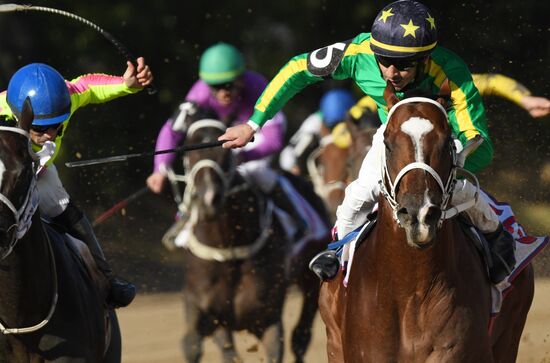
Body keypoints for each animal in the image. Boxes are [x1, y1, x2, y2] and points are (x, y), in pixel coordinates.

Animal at [175, 111, 326, 363]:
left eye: (226, 154)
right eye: (189, 152)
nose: (207, 200)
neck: (228, 247)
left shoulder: (268, 320)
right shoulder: (205, 310)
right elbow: (193, 345)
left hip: (311, 280)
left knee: (301, 336)